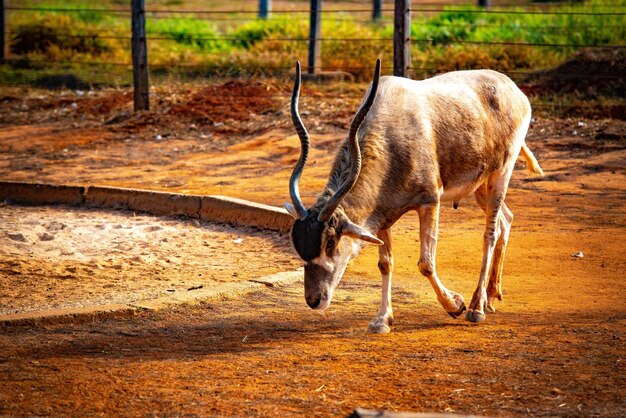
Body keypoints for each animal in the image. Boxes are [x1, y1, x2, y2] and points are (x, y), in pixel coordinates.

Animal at [284, 59, 540, 334]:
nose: (314, 300)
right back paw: (491, 296)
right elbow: (385, 263)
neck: (390, 132)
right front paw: (382, 320)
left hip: (500, 174)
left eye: (330, 242)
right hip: (480, 186)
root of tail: (513, 88)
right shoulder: (381, 214)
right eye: (298, 245)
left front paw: (455, 305)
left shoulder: (430, 201)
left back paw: (477, 307)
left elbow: (426, 263)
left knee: (490, 234)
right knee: (506, 220)